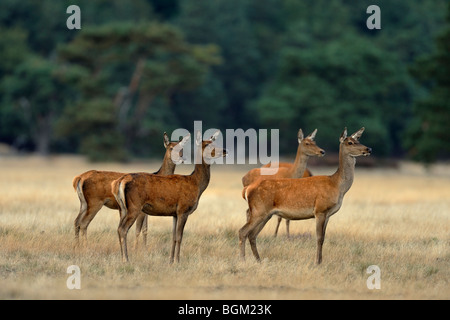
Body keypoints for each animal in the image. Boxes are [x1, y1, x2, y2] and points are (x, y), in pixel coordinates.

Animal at [112, 130, 225, 262]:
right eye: (207, 145)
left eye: (214, 142)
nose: (225, 150)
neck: (196, 185)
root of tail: (121, 181)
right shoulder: (183, 209)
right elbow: (179, 237)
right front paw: (177, 261)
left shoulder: (174, 213)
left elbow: (173, 236)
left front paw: (170, 260)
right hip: (135, 206)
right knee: (123, 229)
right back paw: (126, 259)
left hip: (123, 208)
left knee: (119, 228)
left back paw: (122, 257)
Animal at [239, 127, 372, 264]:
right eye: (350, 142)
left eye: (358, 140)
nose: (368, 149)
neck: (337, 185)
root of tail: (247, 189)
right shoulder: (320, 210)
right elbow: (319, 238)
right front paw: (317, 262)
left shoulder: (328, 214)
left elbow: (323, 238)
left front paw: (320, 261)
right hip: (259, 210)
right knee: (243, 231)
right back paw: (242, 260)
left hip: (266, 214)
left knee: (252, 234)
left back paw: (258, 260)